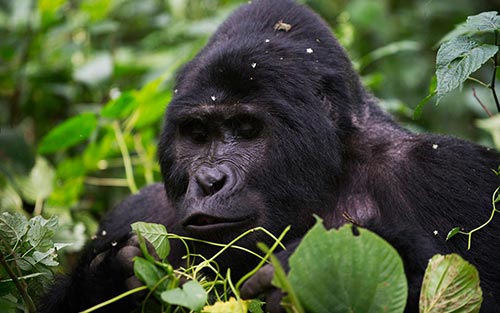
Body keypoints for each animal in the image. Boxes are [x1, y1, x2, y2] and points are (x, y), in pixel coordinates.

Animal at [40, 0, 500, 310]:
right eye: (197, 133)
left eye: (246, 130)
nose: (209, 182)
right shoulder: (134, 211)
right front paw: (110, 276)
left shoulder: (449, 176)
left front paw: (323, 266)